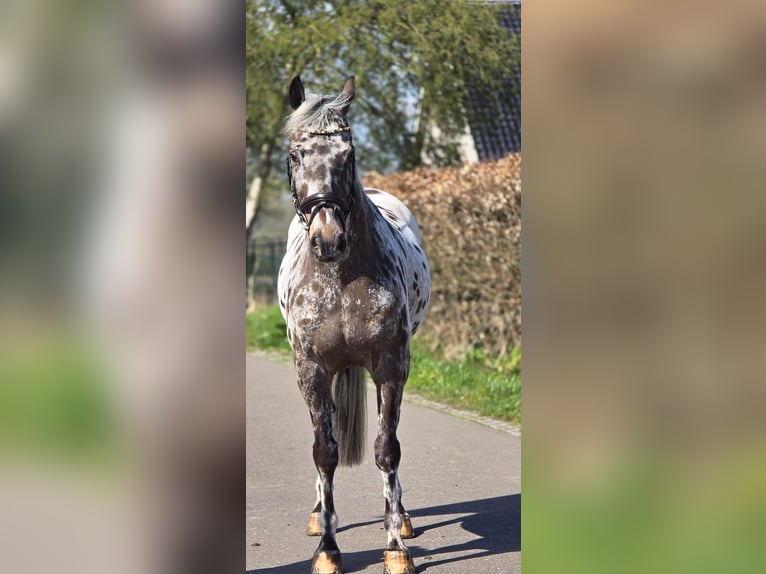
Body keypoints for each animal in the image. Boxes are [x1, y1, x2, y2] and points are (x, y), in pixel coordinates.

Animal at [277, 75, 431, 574]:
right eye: (295, 155)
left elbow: (387, 449)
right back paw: (317, 515)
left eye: (348, 155)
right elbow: (324, 452)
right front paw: (327, 550)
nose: (328, 239)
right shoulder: (311, 372)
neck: (341, 279)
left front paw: (396, 548)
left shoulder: (391, 368)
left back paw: (400, 517)